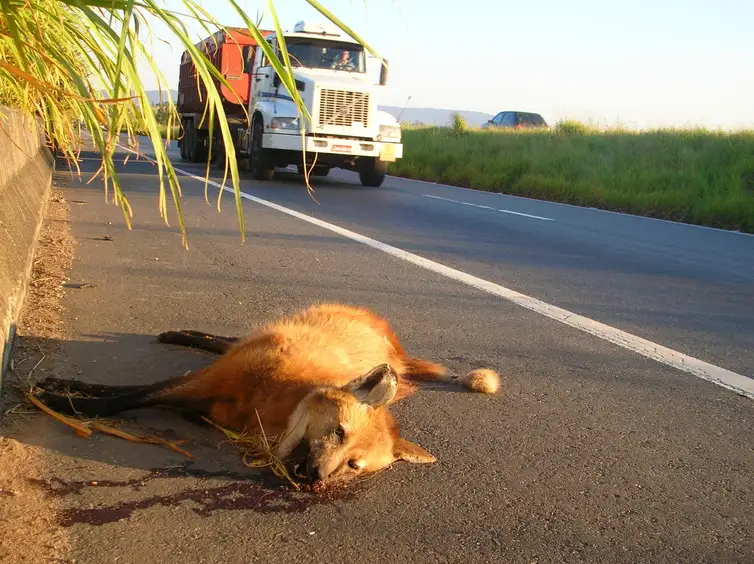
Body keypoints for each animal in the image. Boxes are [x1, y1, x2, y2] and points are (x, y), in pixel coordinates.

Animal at [33, 304, 500, 484]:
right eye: (339, 432)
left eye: (353, 465)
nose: (316, 477)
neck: (274, 395)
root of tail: (393, 346)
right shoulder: (207, 381)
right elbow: (126, 396)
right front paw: (65, 398)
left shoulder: (211, 396)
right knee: (223, 341)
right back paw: (180, 335)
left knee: (223, 342)